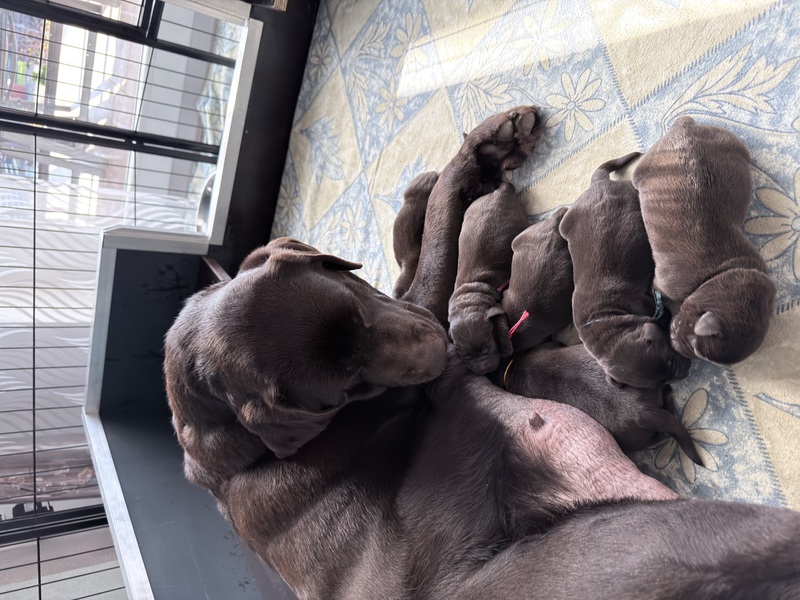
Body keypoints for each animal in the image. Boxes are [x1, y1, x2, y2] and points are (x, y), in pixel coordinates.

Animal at [448, 181, 529, 374]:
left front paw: (506, 348)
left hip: (519, 218)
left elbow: (500, 325)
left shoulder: (495, 308)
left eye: (487, 347)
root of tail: (501, 191)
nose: (485, 370)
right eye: (465, 356)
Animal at [560, 152, 691, 389]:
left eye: (668, 359)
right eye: (660, 384)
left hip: (627, 194)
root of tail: (597, 184)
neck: (607, 320)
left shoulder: (648, 304)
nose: (686, 372)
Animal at [631, 116, 776, 364]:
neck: (716, 274)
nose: (674, 341)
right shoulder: (664, 284)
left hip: (729, 141)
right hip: (643, 169)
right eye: (694, 345)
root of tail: (686, 125)